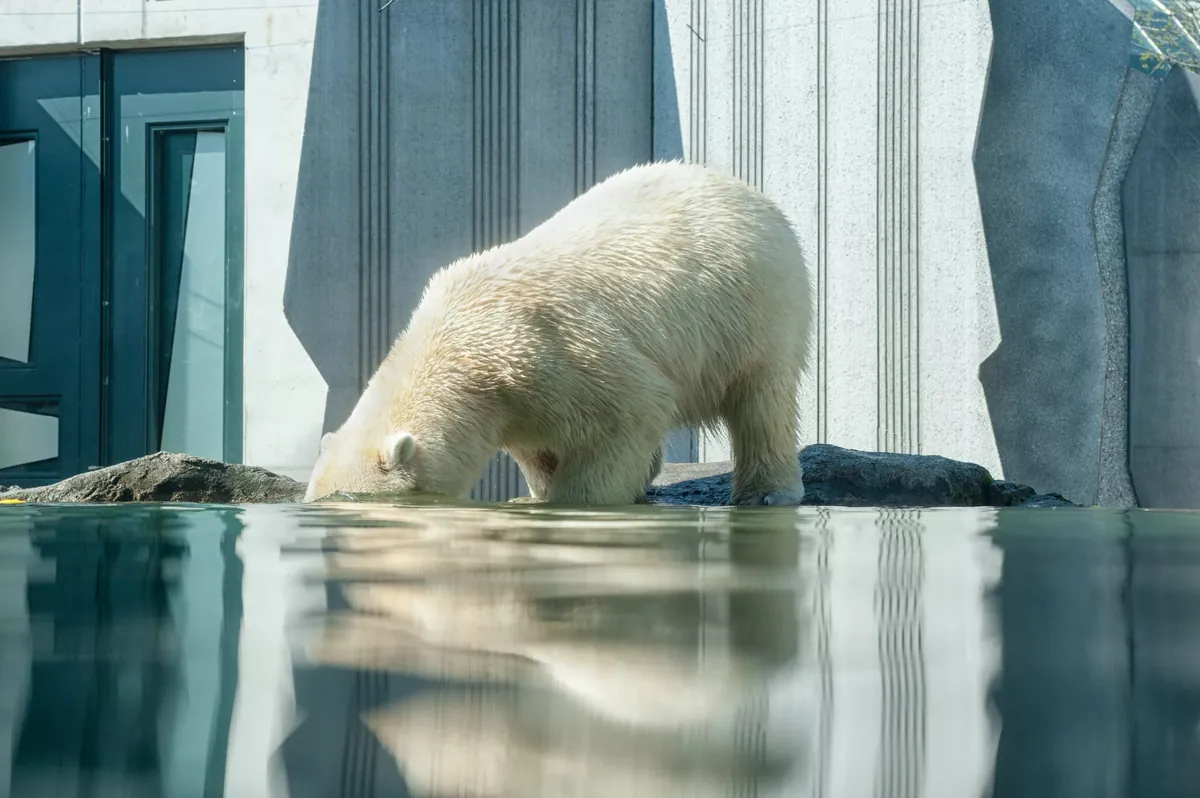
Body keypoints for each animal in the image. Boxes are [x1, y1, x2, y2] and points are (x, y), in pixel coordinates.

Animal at [303, 159, 813, 506]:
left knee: (762, 398)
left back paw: (765, 492)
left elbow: (629, 412)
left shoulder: (549, 349)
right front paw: (542, 492)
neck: (459, 346)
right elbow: (537, 446)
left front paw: (575, 500)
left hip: (753, 308)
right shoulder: (514, 400)